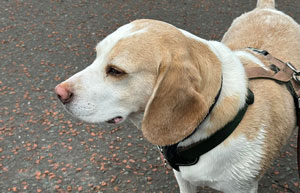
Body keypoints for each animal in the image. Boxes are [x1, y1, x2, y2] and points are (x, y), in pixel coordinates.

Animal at [54, 0, 300, 192]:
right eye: (96, 56)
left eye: (115, 71)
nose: (59, 93)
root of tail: (267, 10)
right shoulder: (184, 180)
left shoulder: (243, 188)